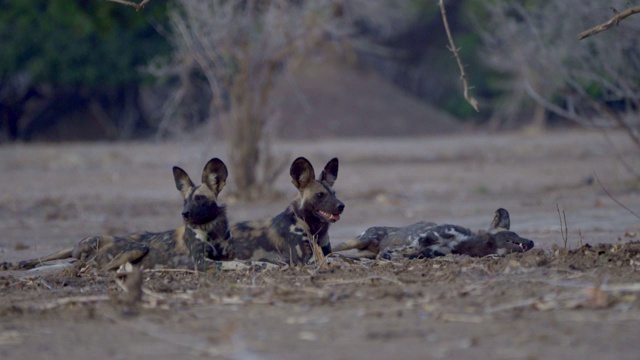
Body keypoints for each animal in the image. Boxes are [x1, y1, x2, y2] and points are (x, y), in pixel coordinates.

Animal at [0, 159, 235, 272]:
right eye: (185, 200)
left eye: (200, 199)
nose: (184, 214)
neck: (212, 231)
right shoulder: (201, 262)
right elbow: (236, 265)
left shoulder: (226, 255)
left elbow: (235, 261)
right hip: (132, 247)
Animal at [330, 207, 536, 260]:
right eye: (513, 234)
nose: (532, 242)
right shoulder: (422, 238)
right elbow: (407, 248)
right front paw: (390, 254)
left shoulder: (431, 252)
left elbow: (416, 254)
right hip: (358, 240)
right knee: (331, 249)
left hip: (364, 251)